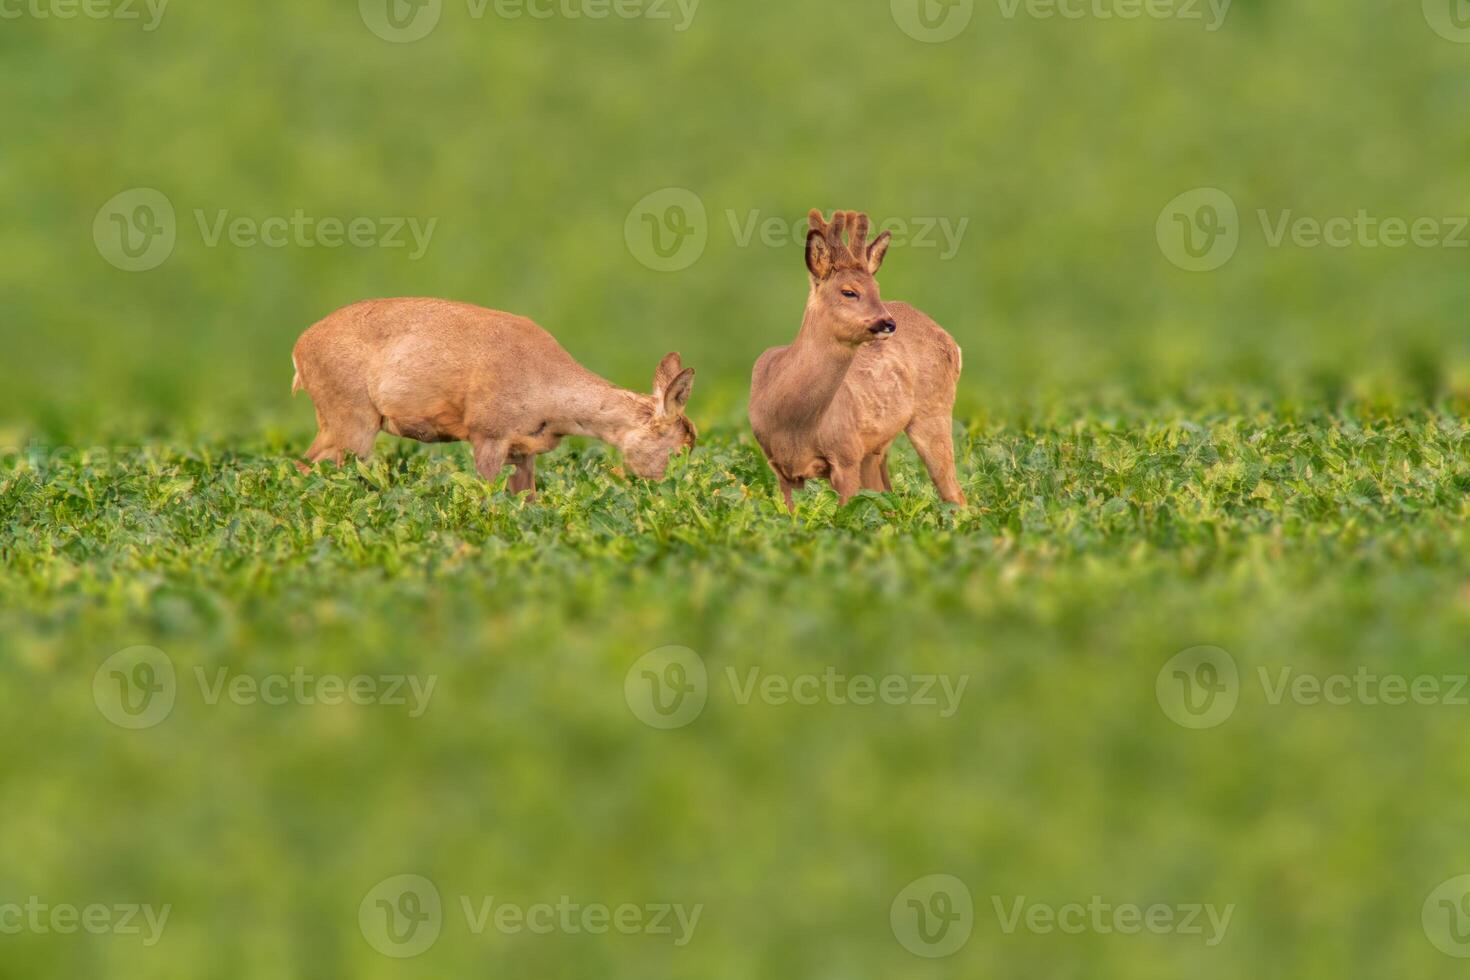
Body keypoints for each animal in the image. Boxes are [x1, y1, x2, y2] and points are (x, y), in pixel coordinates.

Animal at [295, 296, 696, 499]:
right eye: (681, 449)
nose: (671, 495)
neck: (550, 390)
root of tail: (298, 350)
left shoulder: (523, 450)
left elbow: (527, 500)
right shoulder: (487, 433)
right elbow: (487, 496)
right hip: (351, 420)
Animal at [746, 208, 964, 514]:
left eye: (877, 288)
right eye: (849, 291)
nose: (888, 323)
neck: (792, 420)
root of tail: (951, 341)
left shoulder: (845, 455)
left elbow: (847, 517)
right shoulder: (780, 468)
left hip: (933, 412)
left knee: (955, 493)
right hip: (875, 450)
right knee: (888, 497)